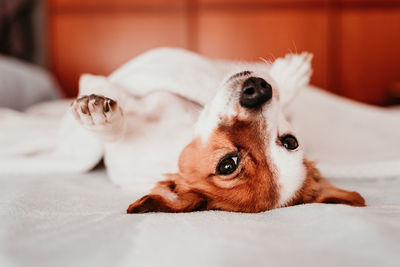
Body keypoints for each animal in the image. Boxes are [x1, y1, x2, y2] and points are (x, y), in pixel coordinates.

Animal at [69, 46, 366, 214]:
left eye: (227, 165)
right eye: (290, 141)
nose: (258, 90)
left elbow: (116, 131)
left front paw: (100, 116)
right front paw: (289, 77)